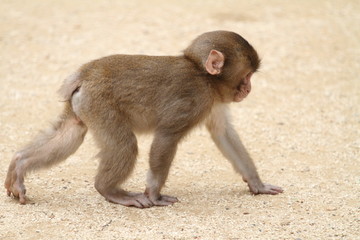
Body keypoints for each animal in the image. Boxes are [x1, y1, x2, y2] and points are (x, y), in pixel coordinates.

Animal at [4, 31, 282, 207]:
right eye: (247, 76)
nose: (249, 89)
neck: (203, 75)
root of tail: (84, 74)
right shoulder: (196, 99)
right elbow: (166, 137)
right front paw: (155, 194)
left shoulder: (212, 100)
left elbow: (223, 133)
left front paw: (256, 183)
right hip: (101, 104)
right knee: (124, 146)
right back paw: (109, 191)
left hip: (84, 105)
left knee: (70, 133)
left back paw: (19, 164)